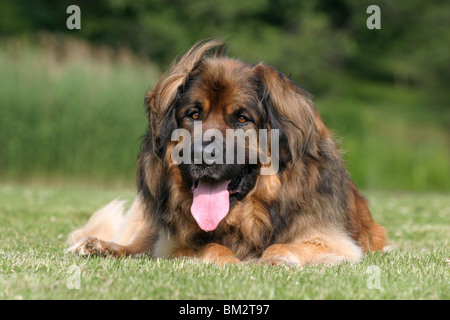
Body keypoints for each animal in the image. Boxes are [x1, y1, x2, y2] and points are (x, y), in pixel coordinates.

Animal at [67, 39, 386, 264]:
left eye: (242, 119)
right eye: (194, 115)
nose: (202, 156)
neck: (248, 214)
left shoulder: (332, 238)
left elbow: (286, 244)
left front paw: (276, 258)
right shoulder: (172, 241)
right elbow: (209, 245)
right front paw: (227, 259)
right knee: (135, 245)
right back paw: (98, 246)